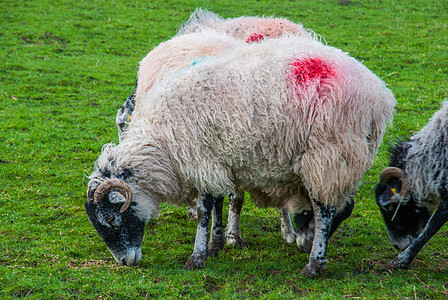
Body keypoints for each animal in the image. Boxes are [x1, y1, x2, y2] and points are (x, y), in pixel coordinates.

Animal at [87, 34, 396, 276]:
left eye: (110, 218)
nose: (125, 262)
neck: (162, 146)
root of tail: (379, 95)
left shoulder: (202, 161)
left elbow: (204, 211)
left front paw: (196, 257)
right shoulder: (219, 162)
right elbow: (219, 204)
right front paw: (215, 244)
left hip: (328, 154)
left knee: (325, 209)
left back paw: (314, 263)